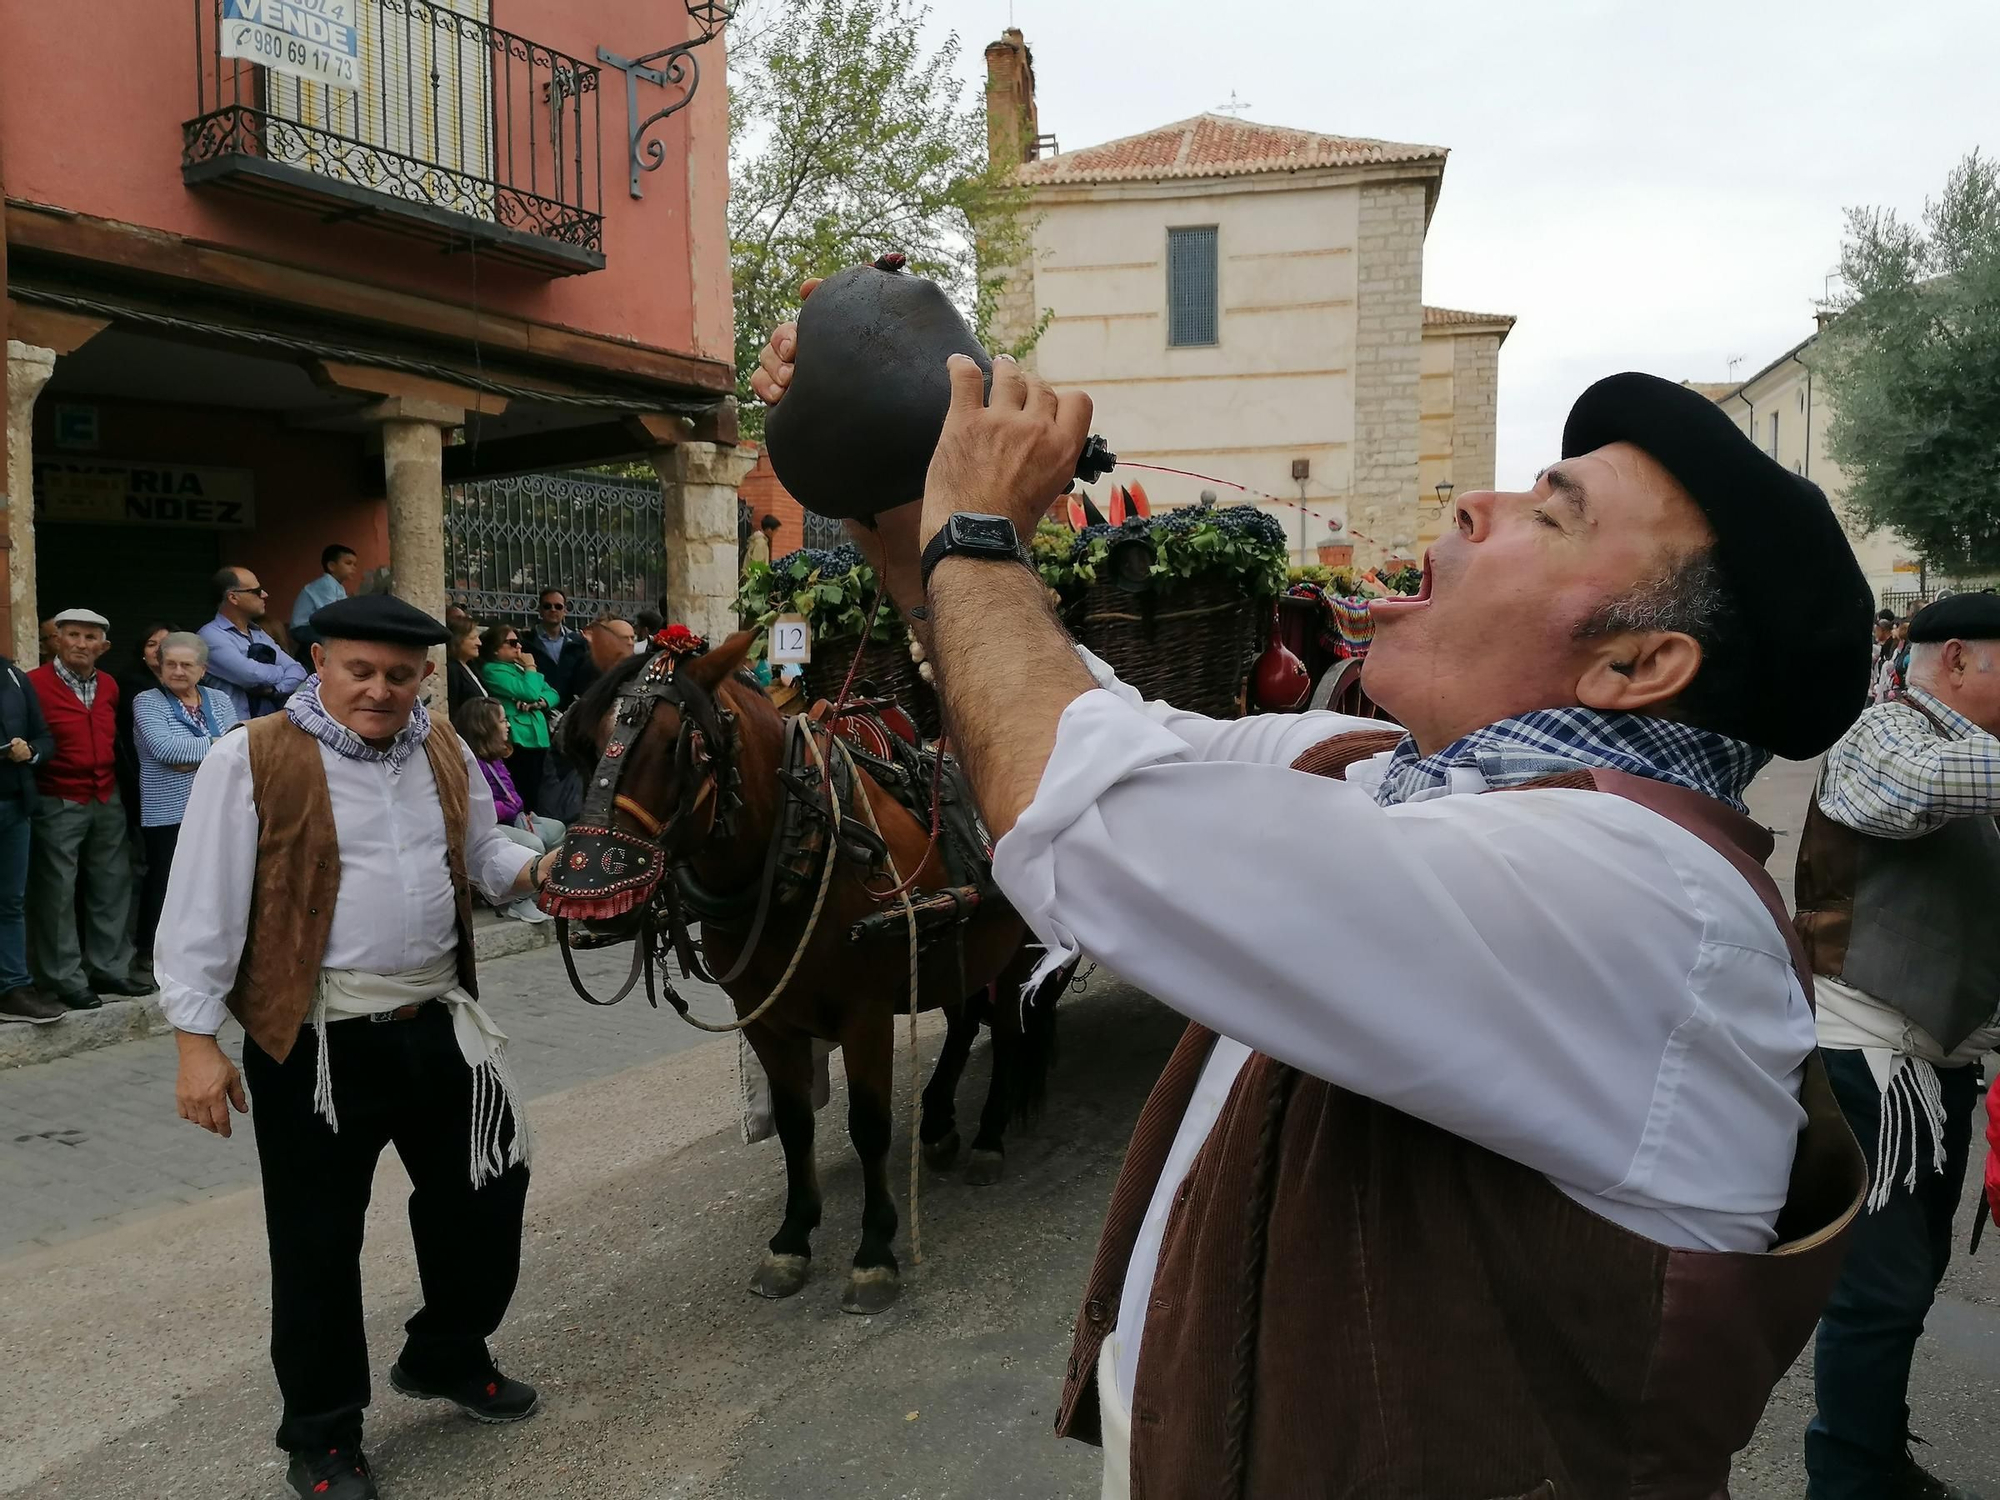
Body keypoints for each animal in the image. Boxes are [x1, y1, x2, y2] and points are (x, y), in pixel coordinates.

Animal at [540, 636, 1056, 1312]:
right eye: (584, 741)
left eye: (680, 746)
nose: (583, 893)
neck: (795, 844)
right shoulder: (765, 1019)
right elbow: (793, 1126)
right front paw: (792, 1238)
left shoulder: (865, 1014)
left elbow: (868, 1126)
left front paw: (874, 1251)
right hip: (954, 947)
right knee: (969, 1019)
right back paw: (940, 1122)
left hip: (1017, 950)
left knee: (1011, 1032)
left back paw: (989, 1137)